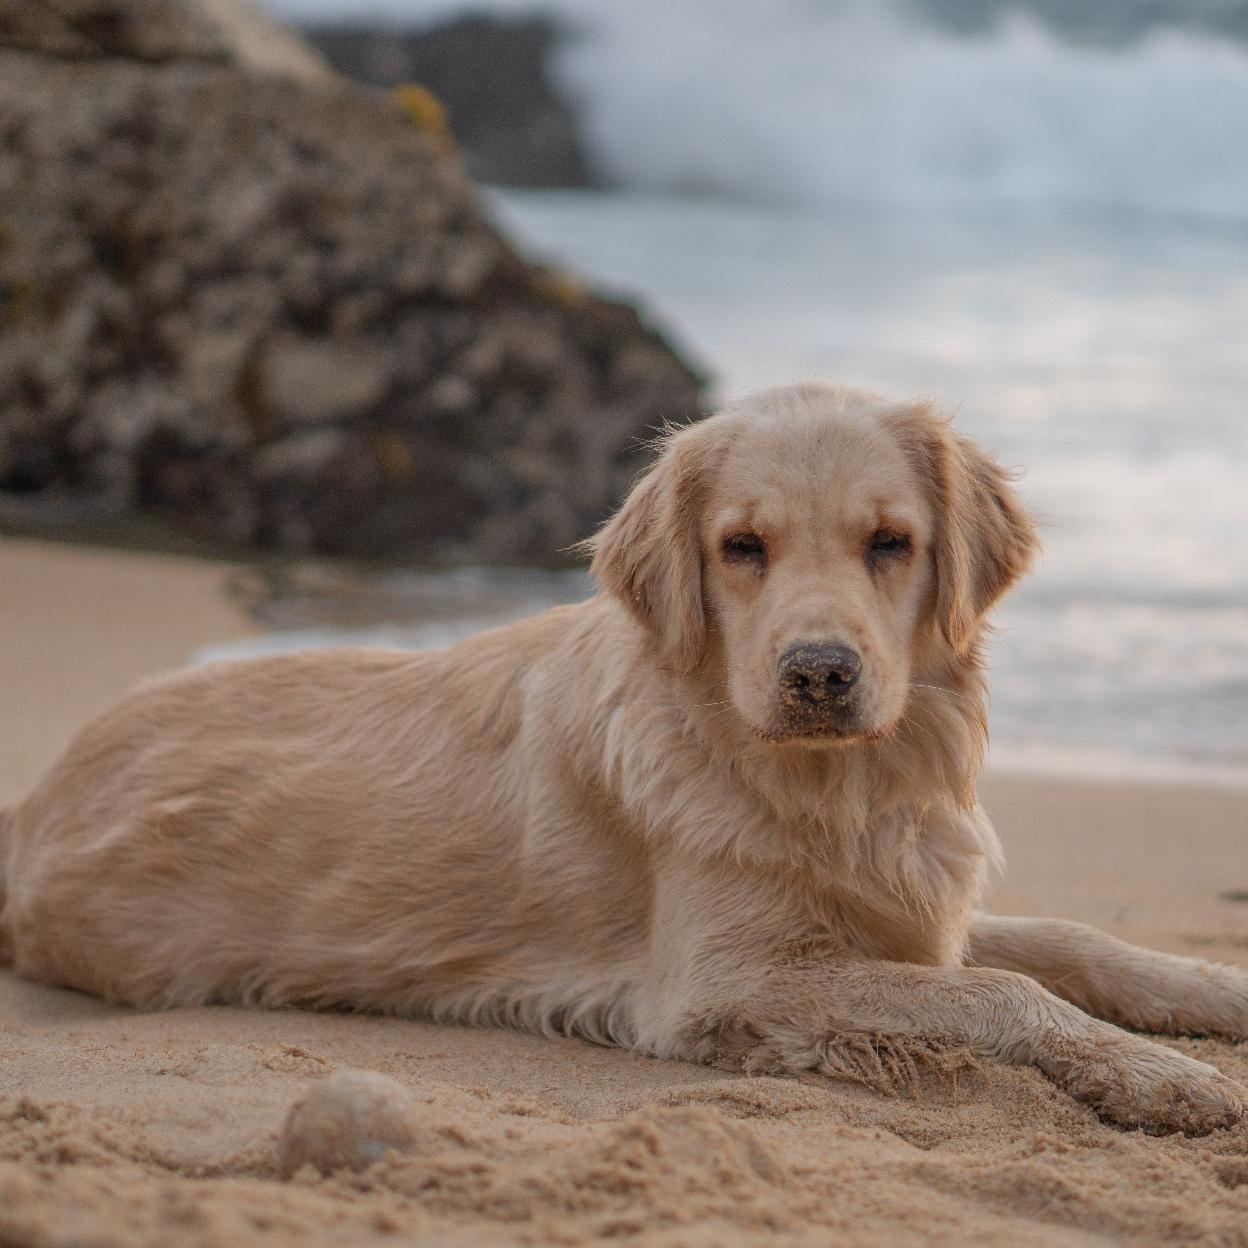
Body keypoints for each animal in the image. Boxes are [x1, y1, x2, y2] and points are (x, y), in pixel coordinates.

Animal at [0, 384, 1243, 1138]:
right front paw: (1165, 1077)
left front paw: (1211, 995)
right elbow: (1003, 990)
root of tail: (46, 784)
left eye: (891, 542)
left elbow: (1068, 944)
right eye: (743, 547)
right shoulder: (732, 979)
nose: (820, 672)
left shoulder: (901, 908)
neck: (835, 788)